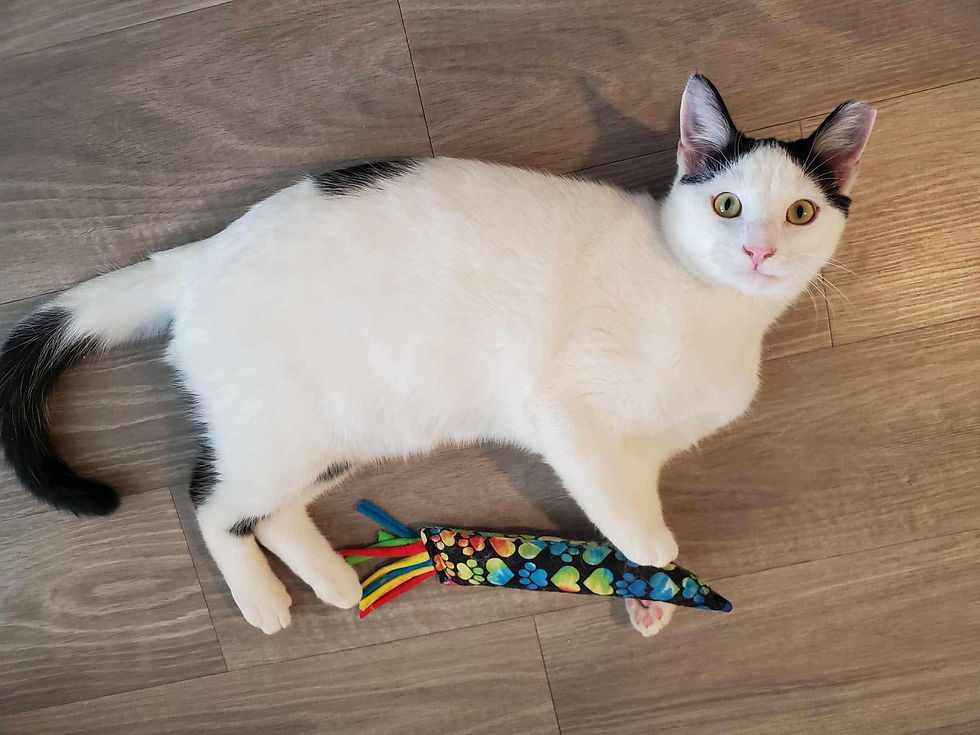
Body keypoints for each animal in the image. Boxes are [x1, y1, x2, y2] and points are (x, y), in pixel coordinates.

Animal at [0, 75, 874, 636]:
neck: (715, 312)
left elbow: (625, 494)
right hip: (280, 425)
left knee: (269, 508)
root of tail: (203, 253)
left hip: (344, 430)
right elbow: (610, 493)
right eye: (727, 204)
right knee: (210, 499)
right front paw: (655, 554)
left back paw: (332, 578)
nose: (759, 250)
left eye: (800, 212)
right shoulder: (566, 410)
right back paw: (264, 603)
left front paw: (645, 596)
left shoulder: (644, 449)